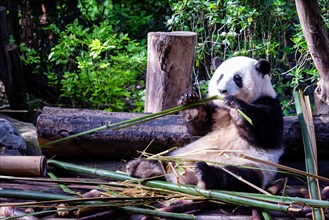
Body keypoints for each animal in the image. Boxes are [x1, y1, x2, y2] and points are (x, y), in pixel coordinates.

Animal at [125, 55, 282, 192]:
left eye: (237, 78)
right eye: (220, 76)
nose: (222, 90)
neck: (226, 110)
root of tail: (187, 176)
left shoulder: (270, 105)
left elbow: (264, 132)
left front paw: (237, 107)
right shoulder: (217, 112)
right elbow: (199, 131)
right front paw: (190, 102)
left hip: (251, 165)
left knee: (238, 177)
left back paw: (205, 173)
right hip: (180, 153)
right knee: (164, 158)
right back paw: (143, 166)